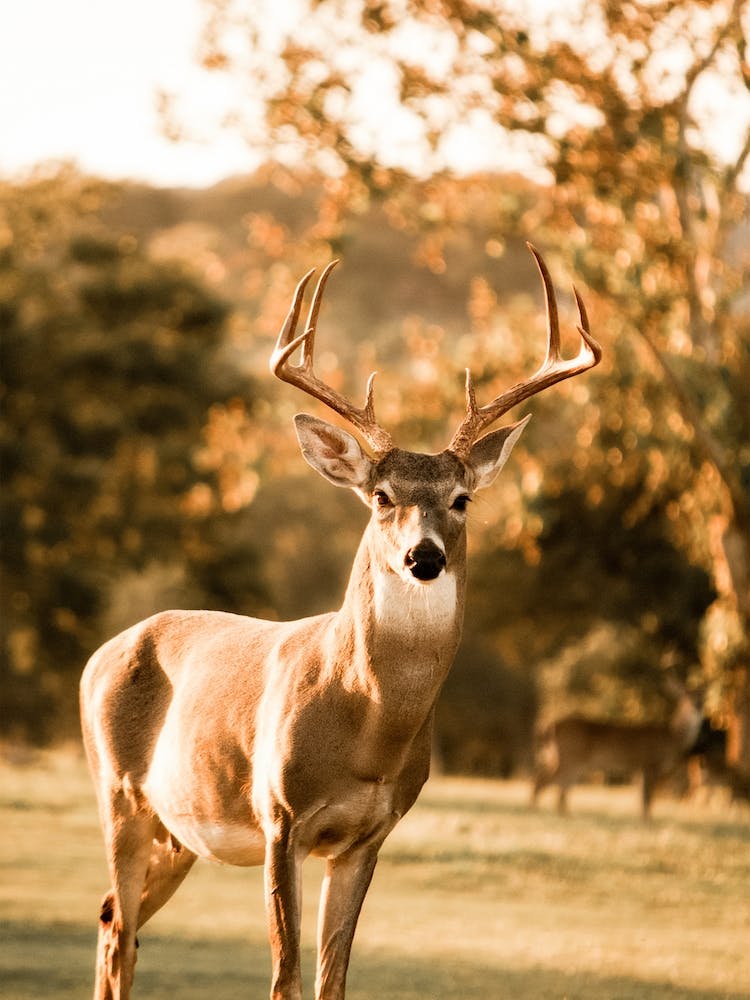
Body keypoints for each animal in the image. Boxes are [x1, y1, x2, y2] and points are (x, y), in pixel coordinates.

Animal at [80, 244, 600, 1000]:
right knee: (119, 933)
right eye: (380, 495)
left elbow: (333, 981)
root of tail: (99, 655)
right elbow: (286, 979)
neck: (367, 729)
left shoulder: (368, 837)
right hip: (119, 796)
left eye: (462, 499)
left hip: (177, 834)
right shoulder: (280, 818)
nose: (423, 557)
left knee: (110, 921)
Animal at [530, 677, 703, 819]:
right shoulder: (648, 763)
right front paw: (647, 822)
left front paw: (641, 820)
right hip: (569, 757)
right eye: (686, 696)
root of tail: (549, 727)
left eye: (702, 696)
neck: (672, 737)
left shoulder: (639, 769)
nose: (698, 706)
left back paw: (565, 815)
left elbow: (641, 797)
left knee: (560, 787)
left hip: (567, 760)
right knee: (544, 781)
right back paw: (537, 811)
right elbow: (647, 797)